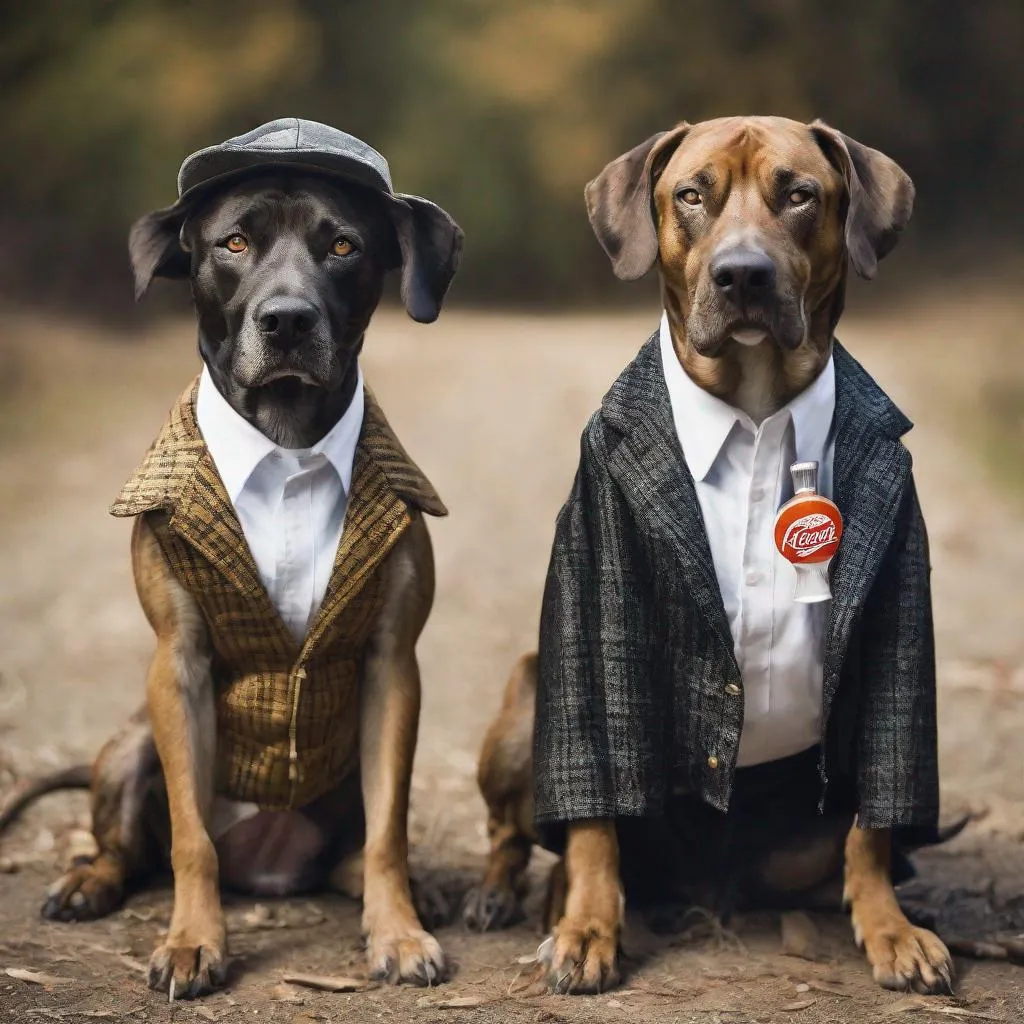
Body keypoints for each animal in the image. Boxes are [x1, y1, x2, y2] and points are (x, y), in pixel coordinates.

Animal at [0, 117, 460, 999]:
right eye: (234, 243)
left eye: (344, 245)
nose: (287, 321)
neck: (287, 441)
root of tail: (269, 870)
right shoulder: (177, 665)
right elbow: (190, 838)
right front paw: (191, 940)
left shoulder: (393, 666)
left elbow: (388, 831)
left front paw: (398, 932)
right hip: (133, 743)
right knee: (130, 849)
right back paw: (89, 881)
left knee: (355, 849)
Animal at [468, 116, 954, 995]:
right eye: (692, 194)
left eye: (800, 195)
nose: (743, 276)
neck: (756, 405)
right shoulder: (598, 583)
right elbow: (594, 811)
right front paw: (587, 927)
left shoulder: (894, 604)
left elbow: (874, 815)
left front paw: (892, 928)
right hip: (525, 704)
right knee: (520, 829)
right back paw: (512, 892)